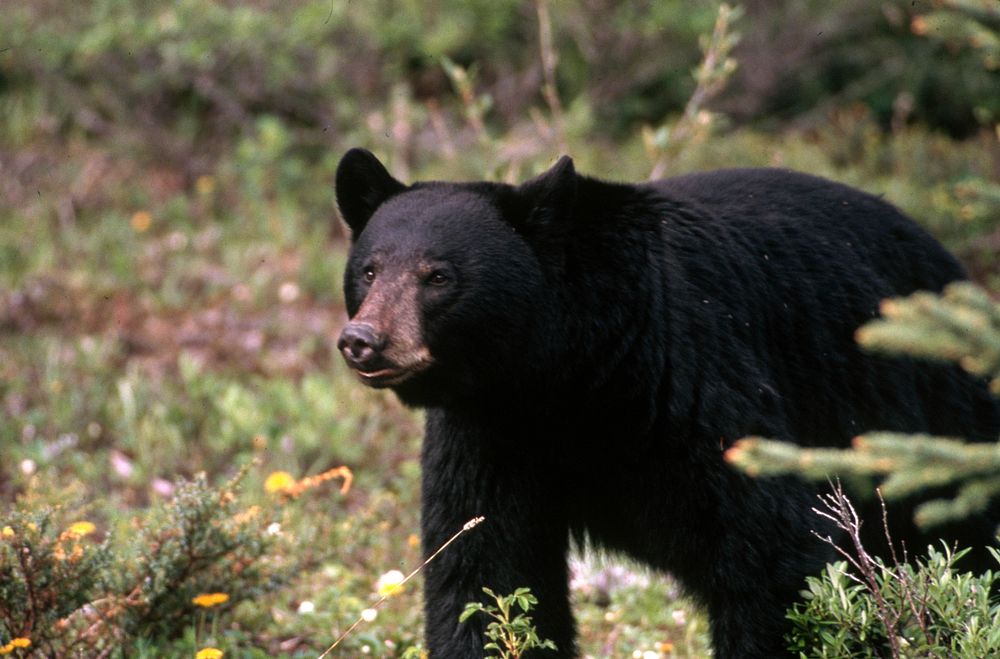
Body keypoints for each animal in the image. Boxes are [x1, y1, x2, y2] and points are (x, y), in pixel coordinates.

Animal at [336, 150, 1000, 659]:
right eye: (368, 270)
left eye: (438, 276)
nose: (362, 340)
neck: (567, 373)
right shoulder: (489, 432)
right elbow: (484, 570)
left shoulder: (694, 381)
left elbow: (774, 556)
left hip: (935, 418)